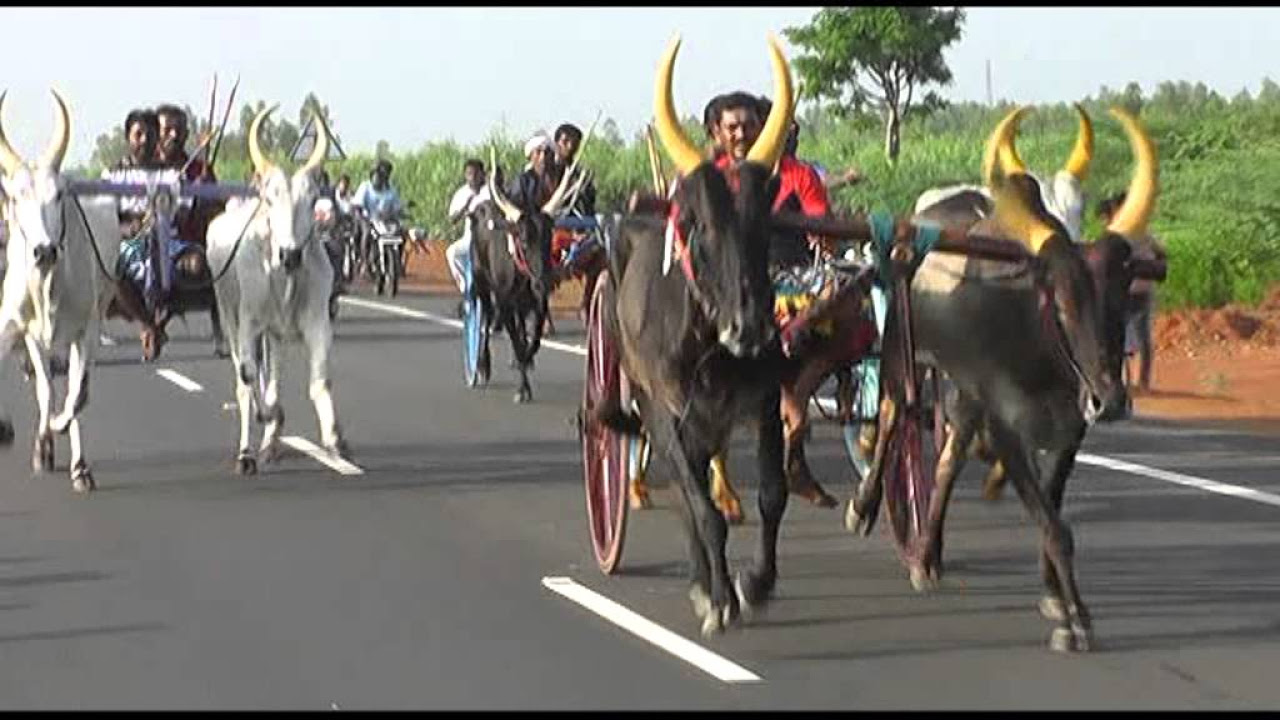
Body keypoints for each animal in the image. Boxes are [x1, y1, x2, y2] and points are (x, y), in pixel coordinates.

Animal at [0, 89, 120, 489]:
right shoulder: (20, 328)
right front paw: (39, 442)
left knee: (70, 386)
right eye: (16, 197)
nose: (45, 251)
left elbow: (77, 395)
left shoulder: (88, 329)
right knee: (46, 383)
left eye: (58, 196)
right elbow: (45, 387)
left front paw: (72, 453)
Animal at [209, 102, 350, 471]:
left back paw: (271, 440)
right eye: (271, 199)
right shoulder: (248, 323)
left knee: (271, 375)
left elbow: (319, 382)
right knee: (244, 376)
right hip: (229, 315)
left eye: (313, 199)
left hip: (275, 335)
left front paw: (335, 439)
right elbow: (248, 380)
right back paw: (253, 444)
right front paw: (261, 431)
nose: (290, 255)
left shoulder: (317, 322)